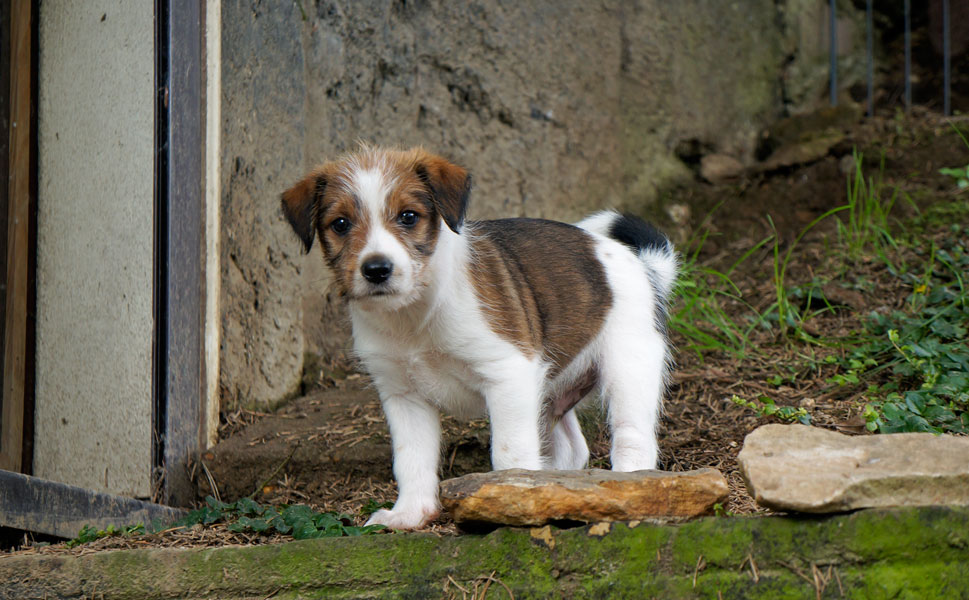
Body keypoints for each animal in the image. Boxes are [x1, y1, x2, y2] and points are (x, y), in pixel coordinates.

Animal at [281, 146, 677, 530]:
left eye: (408, 217)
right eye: (341, 224)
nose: (376, 270)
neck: (415, 313)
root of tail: (641, 265)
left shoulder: (509, 372)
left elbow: (509, 452)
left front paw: (511, 497)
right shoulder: (403, 394)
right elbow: (412, 459)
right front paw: (410, 514)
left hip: (628, 368)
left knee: (634, 438)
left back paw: (626, 485)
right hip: (549, 392)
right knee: (571, 448)